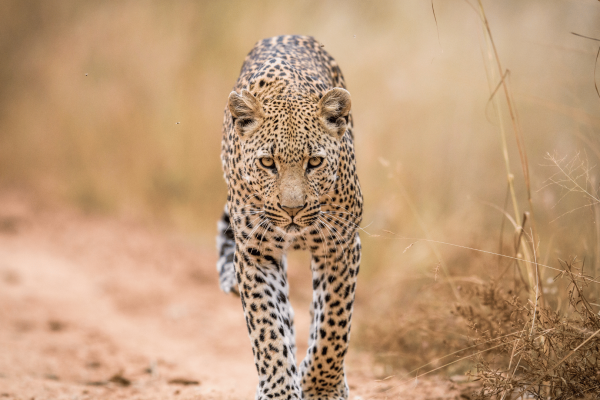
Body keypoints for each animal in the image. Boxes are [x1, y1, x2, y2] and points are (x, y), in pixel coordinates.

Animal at [218, 35, 364, 400]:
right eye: (268, 163)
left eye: (314, 162)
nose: (292, 209)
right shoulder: (255, 253)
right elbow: (267, 327)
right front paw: (280, 390)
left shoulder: (340, 247)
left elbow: (334, 323)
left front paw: (322, 388)